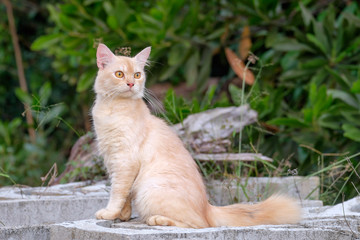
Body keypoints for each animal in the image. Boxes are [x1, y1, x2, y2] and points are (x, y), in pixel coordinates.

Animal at [90, 43, 300, 229]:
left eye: (137, 74)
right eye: (119, 74)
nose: (131, 83)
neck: (113, 108)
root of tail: (207, 208)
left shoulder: (125, 162)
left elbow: (117, 193)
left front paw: (109, 213)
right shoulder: (113, 160)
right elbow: (124, 196)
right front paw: (123, 216)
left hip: (150, 190)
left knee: (198, 224)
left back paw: (157, 219)